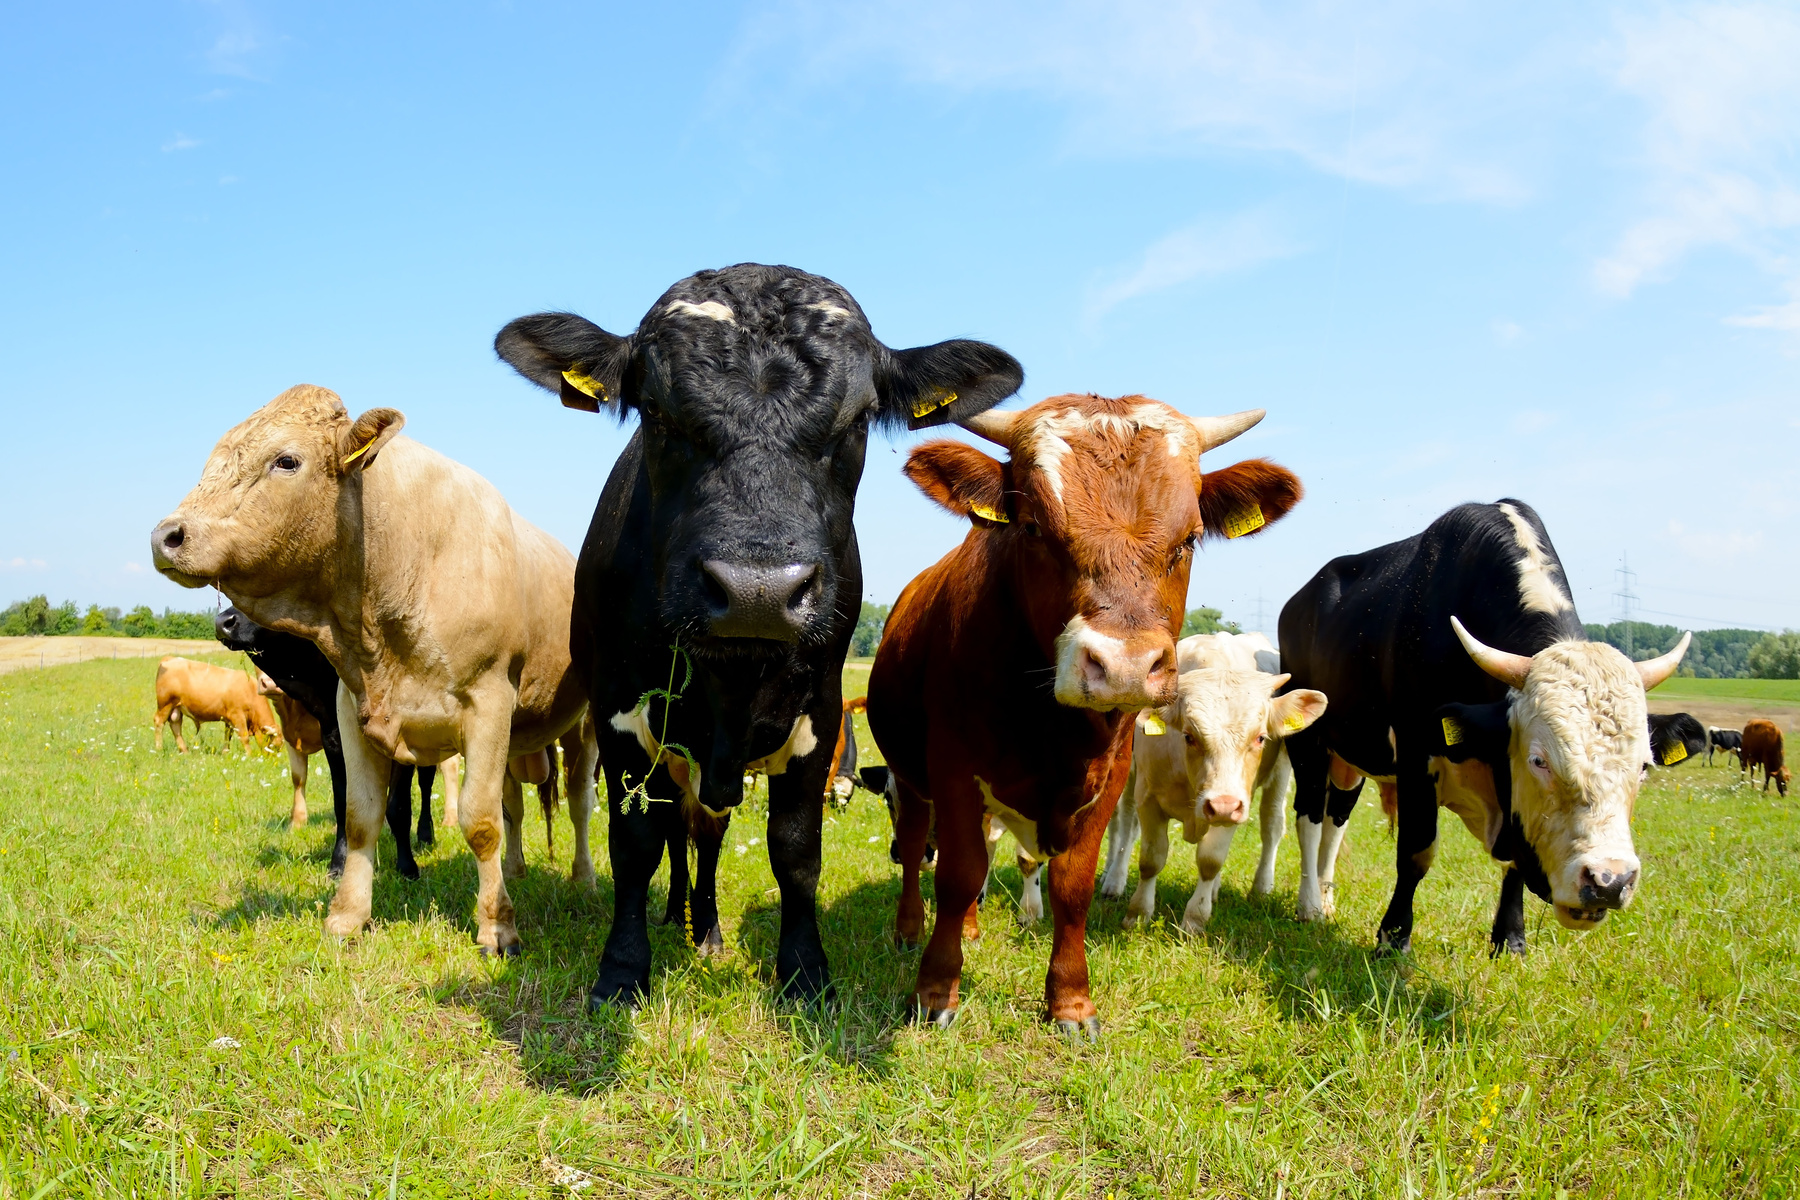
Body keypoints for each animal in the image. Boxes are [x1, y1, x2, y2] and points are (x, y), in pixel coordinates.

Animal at [152, 386, 599, 956]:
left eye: (286, 460)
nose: (167, 535)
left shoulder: (489, 703)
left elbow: (478, 821)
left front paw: (497, 927)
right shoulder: (351, 710)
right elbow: (362, 817)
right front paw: (347, 916)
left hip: (583, 724)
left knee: (579, 802)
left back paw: (583, 878)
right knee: (515, 806)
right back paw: (517, 870)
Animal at [494, 262, 1022, 1006]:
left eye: (859, 418)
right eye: (655, 411)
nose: (757, 591)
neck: (731, 681)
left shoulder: (820, 715)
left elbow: (796, 849)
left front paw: (804, 971)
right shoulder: (619, 711)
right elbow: (635, 842)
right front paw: (623, 969)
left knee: (707, 832)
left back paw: (706, 928)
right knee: (680, 831)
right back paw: (678, 915)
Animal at [867, 393, 1302, 1035]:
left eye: (1190, 539)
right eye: (1033, 527)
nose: (1124, 665)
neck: (1049, 725)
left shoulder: (1111, 777)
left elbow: (1073, 885)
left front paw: (1070, 1002)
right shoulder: (953, 769)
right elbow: (958, 873)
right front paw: (936, 990)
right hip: (910, 774)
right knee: (920, 841)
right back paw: (908, 928)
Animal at [1099, 632, 1327, 932]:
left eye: (1260, 738)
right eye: (1188, 736)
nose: (1222, 805)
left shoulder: (1237, 803)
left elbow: (1210, 861)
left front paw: (1195, 920)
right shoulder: (1148, 797)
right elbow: (1151, 858)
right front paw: (1137, 914)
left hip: (1280, 773)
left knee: (1272, 824)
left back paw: (1257, 887)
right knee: (1124, 825)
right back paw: (1113, 878)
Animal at [1278, 500, 1690, 958]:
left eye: (1643, 767)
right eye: (1539, 760)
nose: (1609, 881)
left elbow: (1512, 864)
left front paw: (1510, 938)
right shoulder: (1416, 753)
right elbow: (1416, 852)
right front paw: (1393, 937)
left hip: (1351, 757)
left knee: (1336, 819)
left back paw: (1326, 899)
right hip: (1308, 741)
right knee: (1310, 816)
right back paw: (1310, 905)